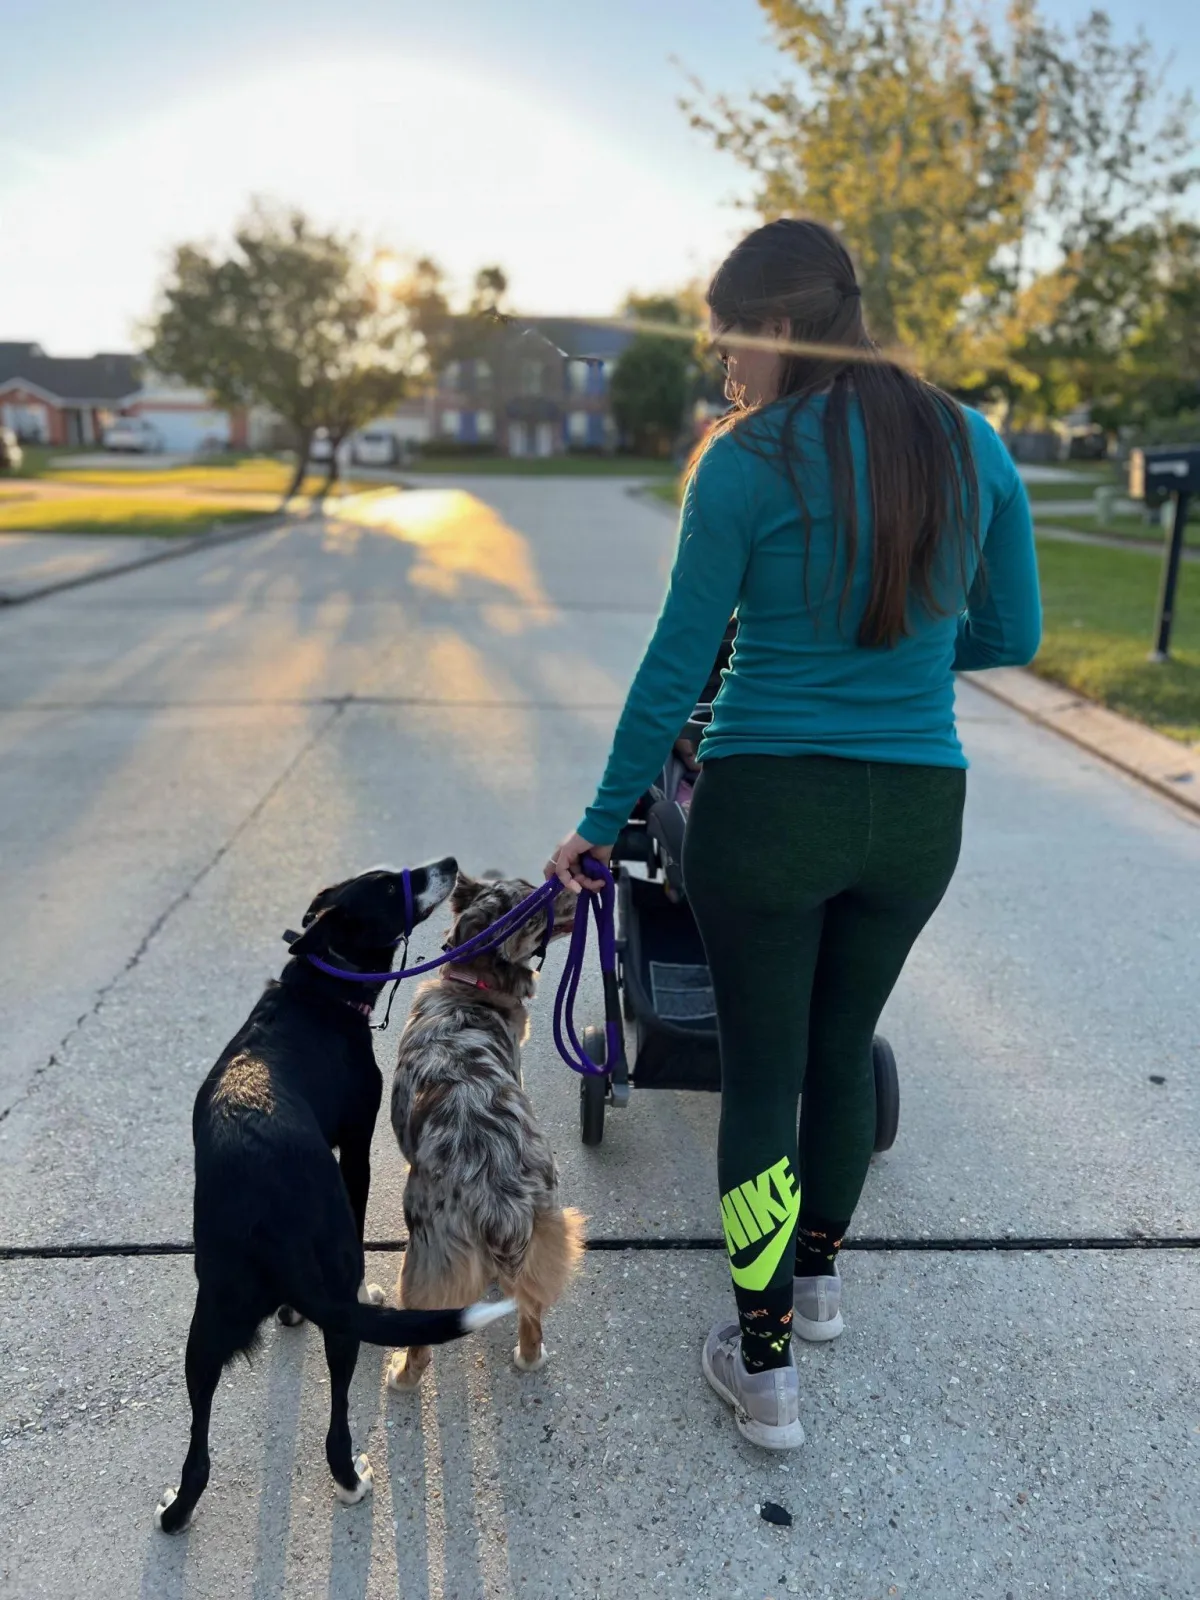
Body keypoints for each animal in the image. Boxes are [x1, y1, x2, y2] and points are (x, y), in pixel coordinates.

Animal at [153, 857, 512, 1529]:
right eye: (390, 885)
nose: (449, 864)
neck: (318, 989)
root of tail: (262, 1209)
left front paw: (291, 1313)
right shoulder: (358, 1144)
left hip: (207, 1324)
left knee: (198, 1453)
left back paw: (176, 1513)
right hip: (338, 1309)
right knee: (335, 1422)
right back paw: (350, 1480)